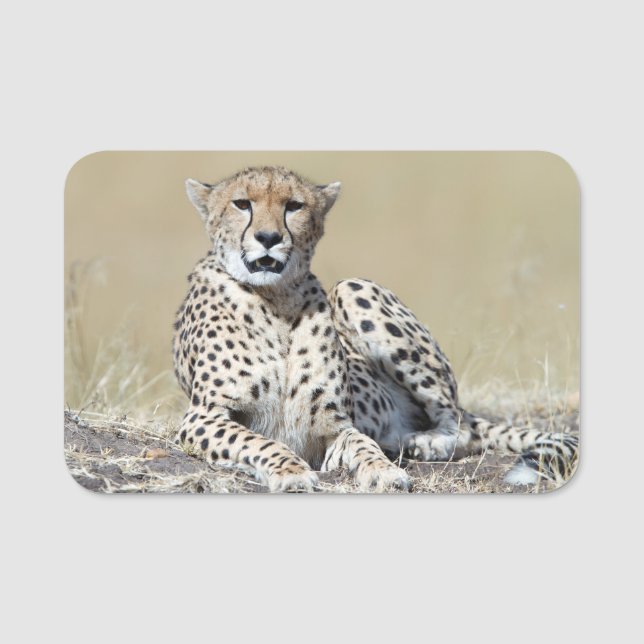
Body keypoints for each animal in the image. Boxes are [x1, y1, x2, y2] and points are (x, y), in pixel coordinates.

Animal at [172, 165, 578, 492]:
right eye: (242, 204)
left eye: (294, 206)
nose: (269, 238)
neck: (276, 300)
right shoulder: (202, 417)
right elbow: (258, 441)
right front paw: (290, 471)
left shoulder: (335, 427)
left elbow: (362, 443)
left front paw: (383, 471)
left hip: (353, 288)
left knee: (460, 423)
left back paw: (428, 442)